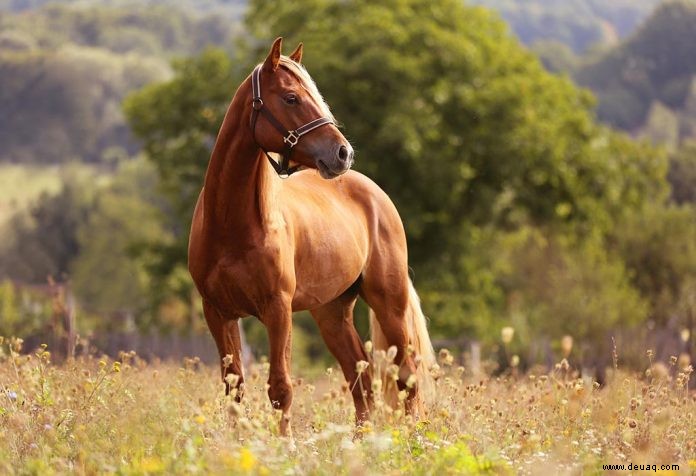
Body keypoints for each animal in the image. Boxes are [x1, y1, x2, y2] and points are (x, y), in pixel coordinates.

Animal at [188, 38, 432, 436]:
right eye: (290, 98)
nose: (343, 153)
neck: (232, 226)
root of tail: (374, 192)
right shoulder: (218, 313)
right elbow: (234, 388)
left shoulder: (277, 309)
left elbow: (280, 388)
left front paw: (284, 444)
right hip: (331, 312)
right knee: (360, 379)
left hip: (389, 303)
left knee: (405, 376)